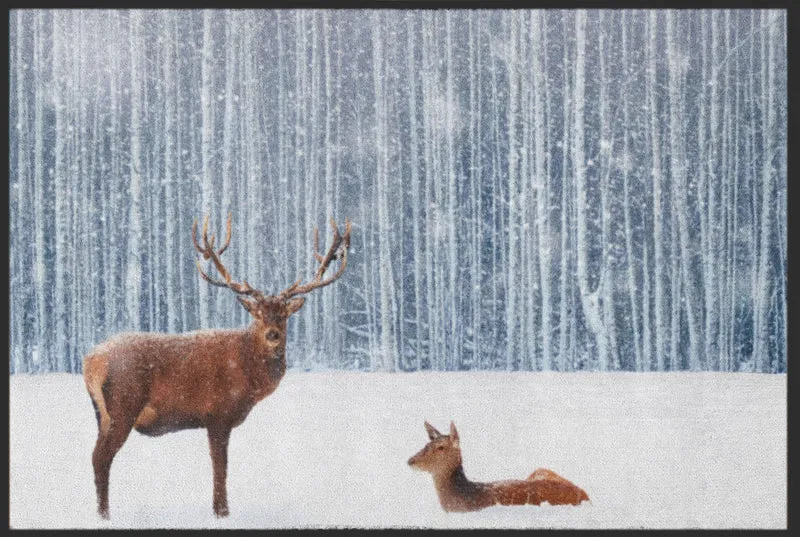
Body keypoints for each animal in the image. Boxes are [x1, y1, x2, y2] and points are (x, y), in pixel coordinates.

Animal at [83, 214, 351, 519]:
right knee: (100, 457)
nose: (272, 334)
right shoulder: (218, 414)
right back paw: (104, 515)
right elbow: (220, 468)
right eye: (259, 314)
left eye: (283, 314)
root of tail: (91, 360)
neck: (249, 376)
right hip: (123, 406)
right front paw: (222, 512)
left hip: (101, 413)